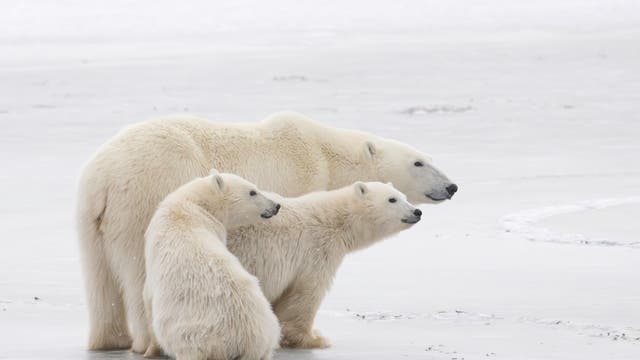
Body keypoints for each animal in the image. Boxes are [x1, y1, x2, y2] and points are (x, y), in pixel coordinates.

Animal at [144, 171, 282, 360]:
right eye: (253, 191)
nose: (276, 206)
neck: (194, 205)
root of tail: (245, 338)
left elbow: (148, 297)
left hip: (192, 332)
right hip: (266, 329)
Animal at [228, 181, 422, 348]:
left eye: (404, 196)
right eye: (392, 199)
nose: (417, 212)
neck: (336, 219)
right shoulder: (317, 249)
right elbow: (307, 292)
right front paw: (314, 338)